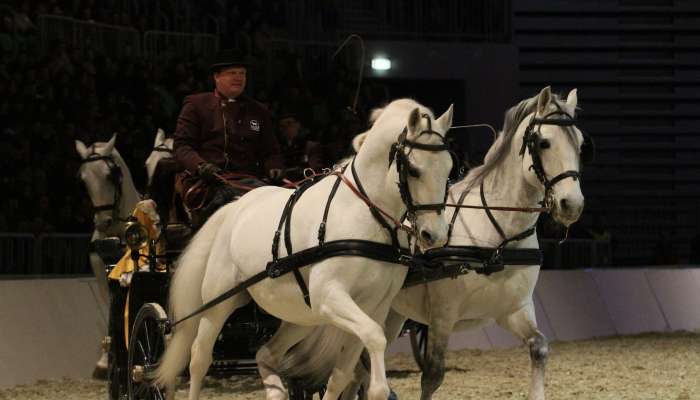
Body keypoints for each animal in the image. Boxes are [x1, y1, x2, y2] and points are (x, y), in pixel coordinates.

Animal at [154, 99, 456, 400]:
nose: (434, 234)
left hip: (301, 316)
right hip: (218, 303)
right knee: (199, 358)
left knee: (266, 354)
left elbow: (343, 374)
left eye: (450, 168)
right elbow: (374, 338)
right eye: (414, 170)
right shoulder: (329, 296)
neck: (366, 215)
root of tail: (235, 206)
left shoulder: (374, 306)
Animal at [348, 86, 588, 398]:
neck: (498, 239)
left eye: (580, 143)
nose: (572, 205)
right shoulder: (442, 316)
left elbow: (539, 347)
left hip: (392, 312)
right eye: (544, 142)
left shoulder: (514, 310)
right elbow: (432, 376)